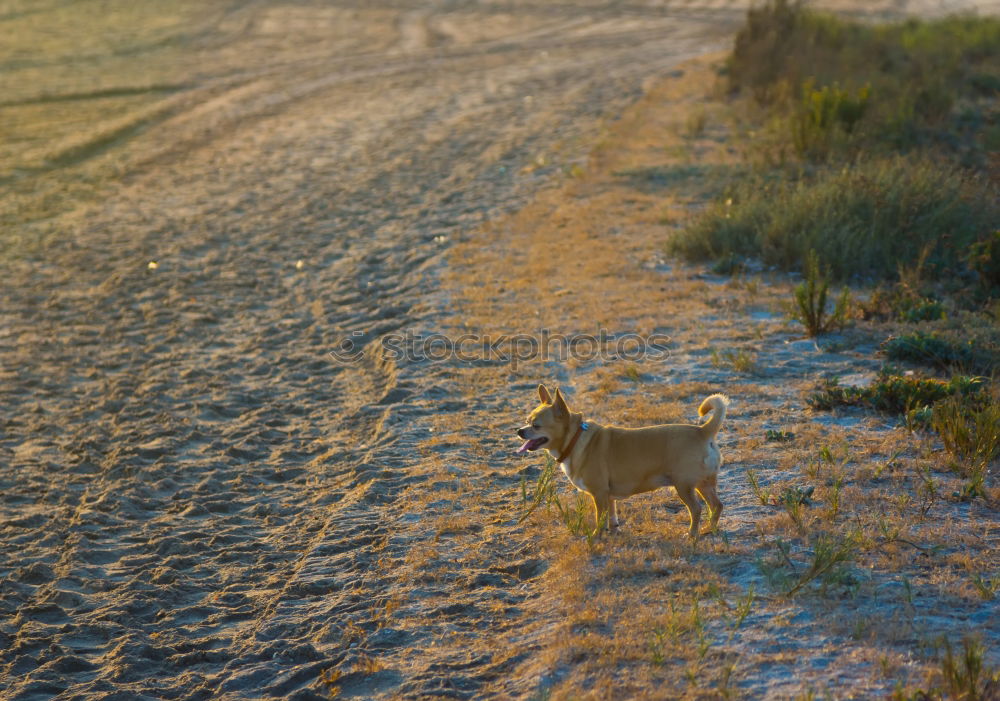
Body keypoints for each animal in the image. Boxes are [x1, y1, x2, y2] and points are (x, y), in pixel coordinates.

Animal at [516, 382, 728, 536]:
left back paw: (692, 534)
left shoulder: (599, 494)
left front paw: (596, 537)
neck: (574, 439)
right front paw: (613, 533)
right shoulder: (608, 497)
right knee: (716, 506)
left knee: (697, 509)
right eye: (526, 421)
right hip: (703, 484)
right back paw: (710, 529)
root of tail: (703, 431)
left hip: (684, 486)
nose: (519, 431)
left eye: (536, 426)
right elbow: (612, 517)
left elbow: (600, 519)